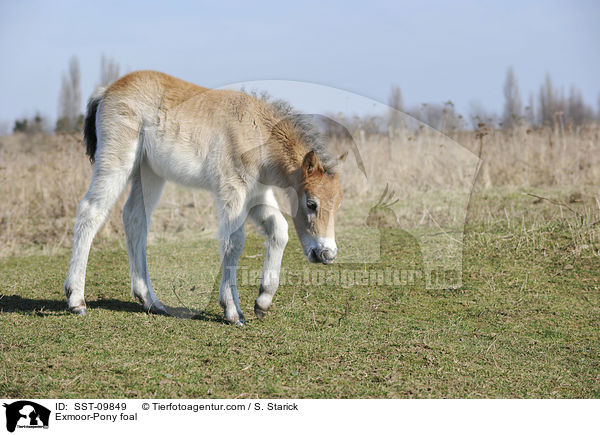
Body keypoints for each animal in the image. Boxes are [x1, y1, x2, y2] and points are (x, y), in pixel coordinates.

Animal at [64, 70, 346, 324]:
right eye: (311, 203)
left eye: (337, 206)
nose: (327, 254)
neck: (256, 132)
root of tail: (107, 91)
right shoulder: (231, 189)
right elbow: (235, 241)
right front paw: (232, 310)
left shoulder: (257, 193)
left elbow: (279, 229)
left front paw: (262, 301)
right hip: (118, 159)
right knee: (91, 210)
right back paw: (76, 300)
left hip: (149, 173)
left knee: (135, 220)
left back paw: (150, 301)